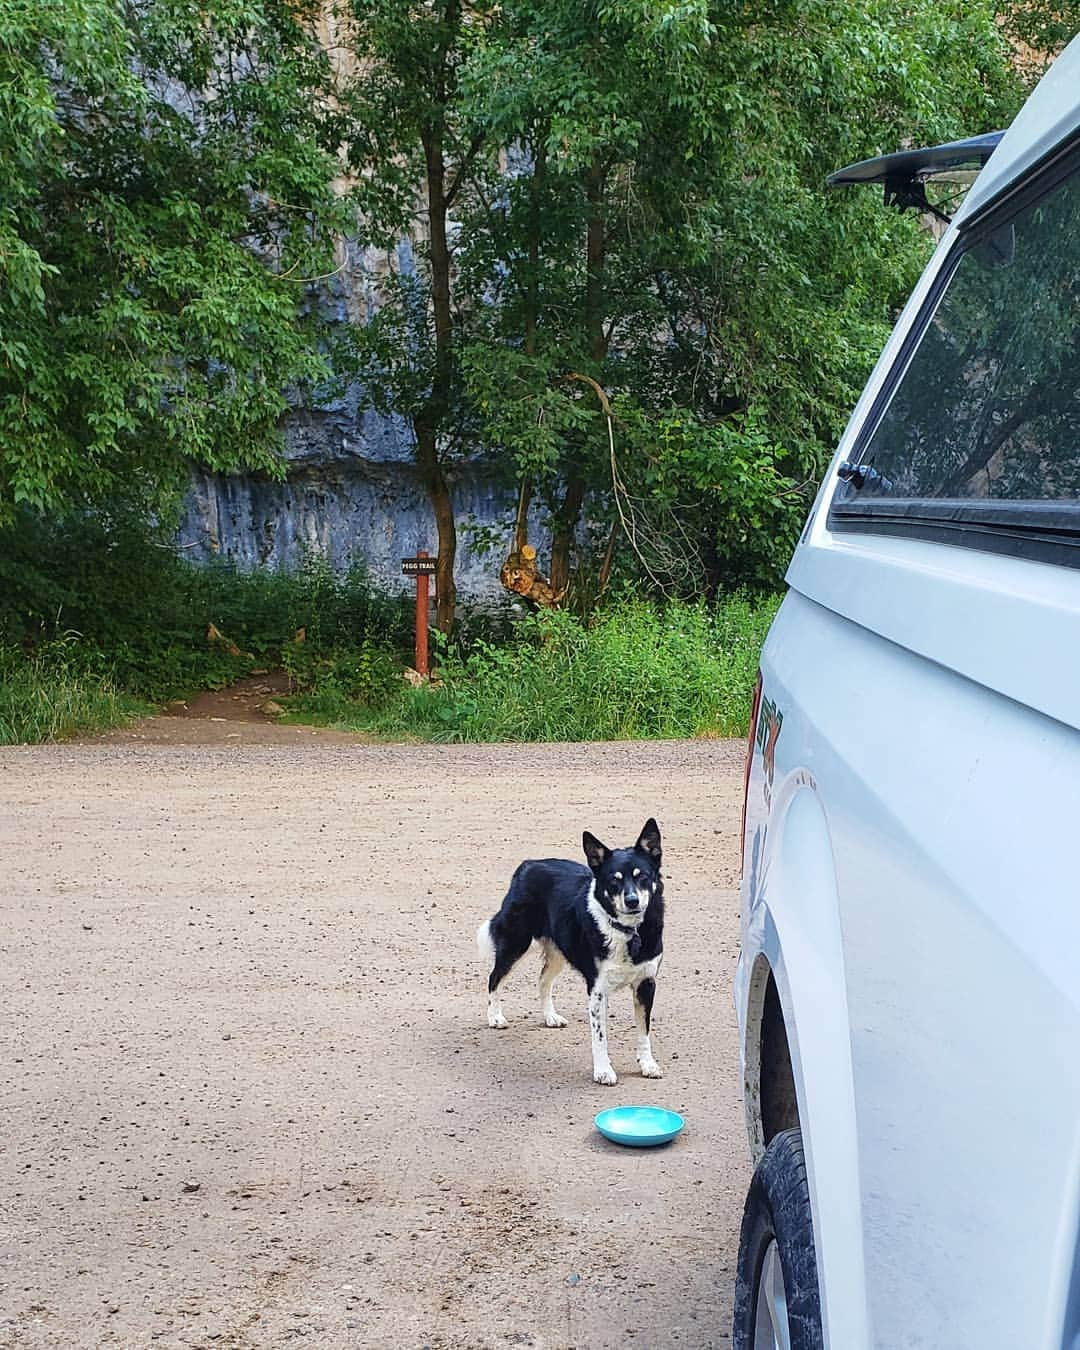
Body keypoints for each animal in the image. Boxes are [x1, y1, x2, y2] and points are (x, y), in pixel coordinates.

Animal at [477, 815, 661, 1090]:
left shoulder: (646, 984)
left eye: (643, 876)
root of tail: (529, 864)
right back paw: (495, 1016)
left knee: (543, 980)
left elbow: (643, 1032)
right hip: (515, 944)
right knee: (494, 978)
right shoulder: (597, 990)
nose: (632, 901)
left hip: (558, 952)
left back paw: (550, 1016)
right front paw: (603, 1071)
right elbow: (600, 1037)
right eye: (614, 880)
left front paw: (647, 1064)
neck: (628, 931)